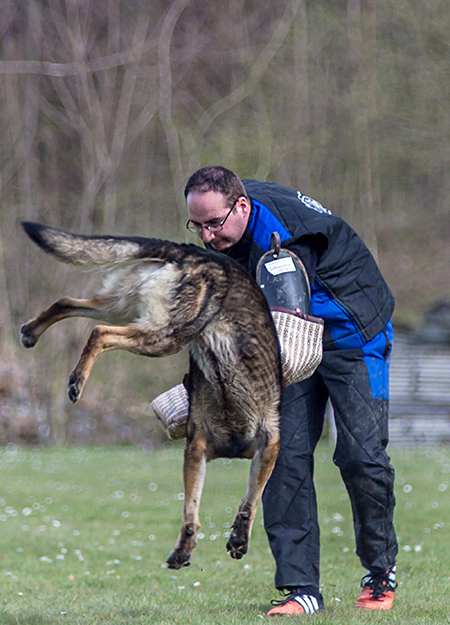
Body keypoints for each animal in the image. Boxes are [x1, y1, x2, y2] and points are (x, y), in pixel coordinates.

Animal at [21, 222, 284, 568]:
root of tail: (192, 251)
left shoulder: (199, 450)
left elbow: (202, 511)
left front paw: (190, 548)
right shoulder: (265, 446)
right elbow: (249, 499)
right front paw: (236, 538)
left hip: (122, 307)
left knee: (66, 302)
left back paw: (31, 332)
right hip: (165, 334)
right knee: (100, 333)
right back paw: (77, 380)